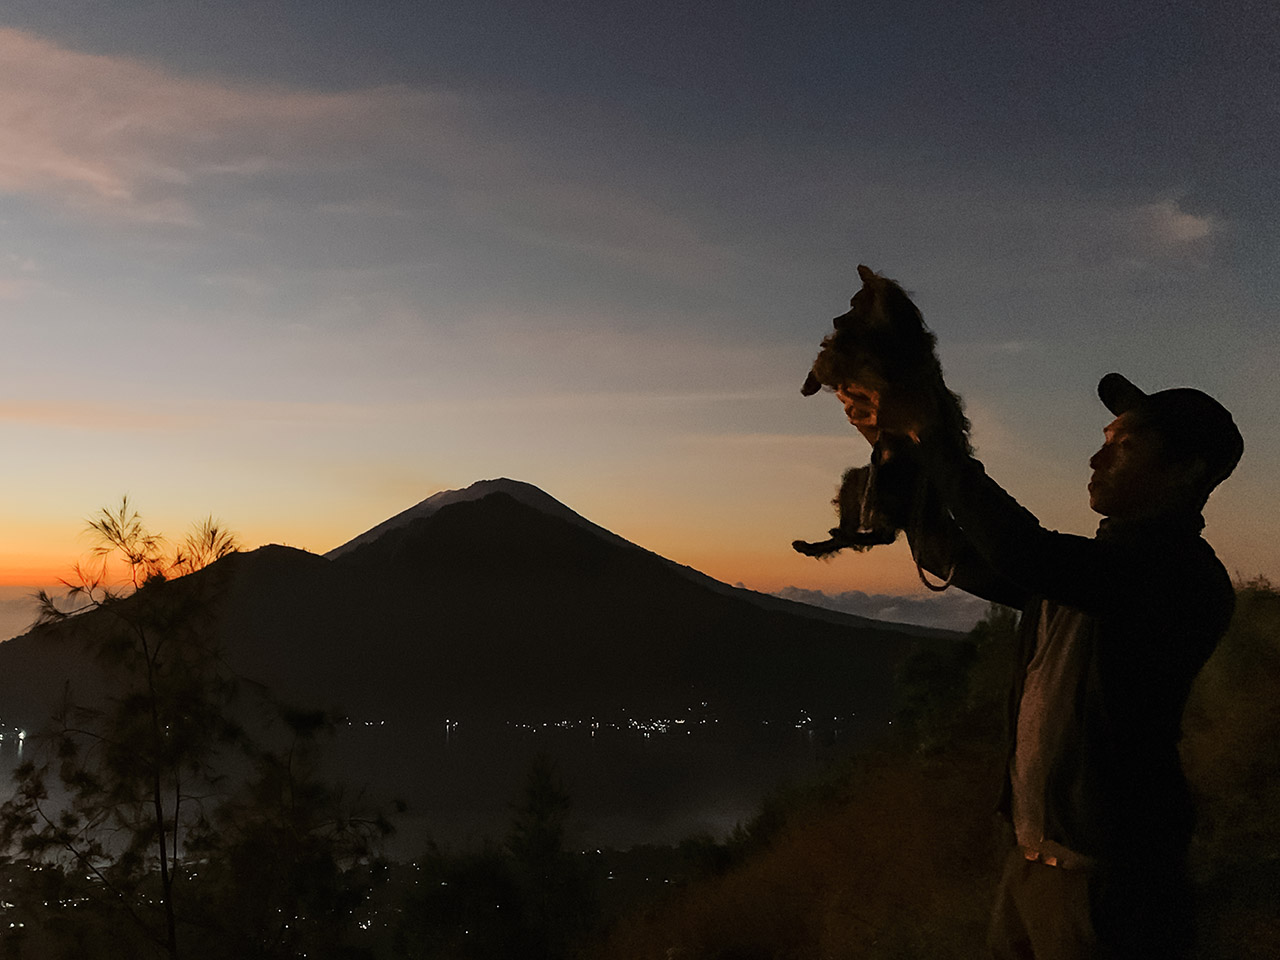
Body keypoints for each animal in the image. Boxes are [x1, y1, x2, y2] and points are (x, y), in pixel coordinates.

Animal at [788, 267, 967, 570]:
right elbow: (830, 353)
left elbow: (832, 355)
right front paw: (810, 382)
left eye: (854, 304)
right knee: (858, 530)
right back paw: (819, 543)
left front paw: (812, 379)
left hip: (885, 483)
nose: (836, 319)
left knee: (885, 535)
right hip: (860, 482)